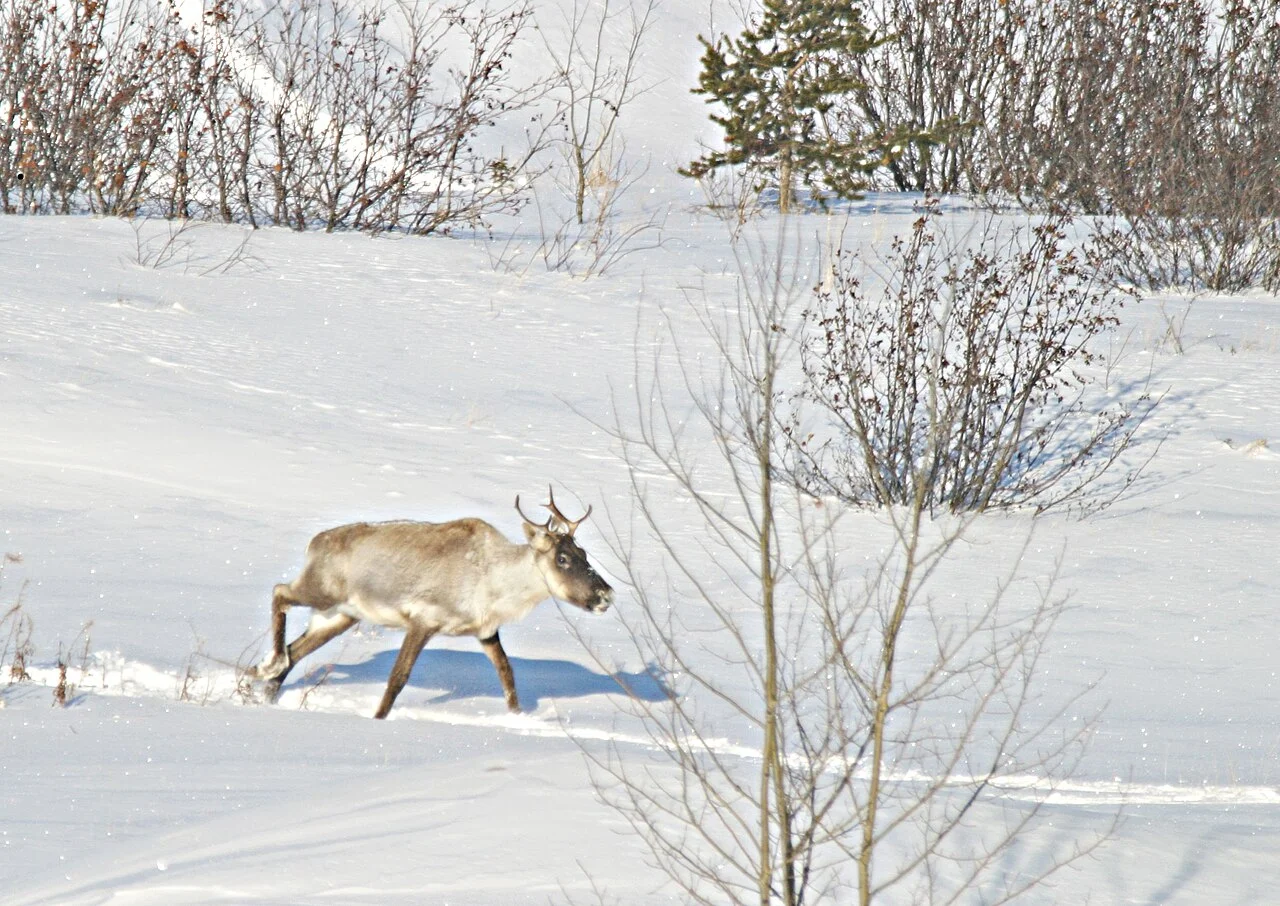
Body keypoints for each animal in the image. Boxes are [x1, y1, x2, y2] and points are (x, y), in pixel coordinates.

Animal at [254, 489, 613, 719]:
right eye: (562, 558)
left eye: (584, 553)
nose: (606, 594)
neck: (496, 582)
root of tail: (314, 543)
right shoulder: (422, 620)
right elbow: (398, 677)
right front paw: (378, 717)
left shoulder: (485, 630)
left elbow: (507, 674)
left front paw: (518, 717)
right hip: (321, 591)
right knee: (279, 592)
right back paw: (268, 665)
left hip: (340, 616)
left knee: (296, 650)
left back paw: (266, 688)